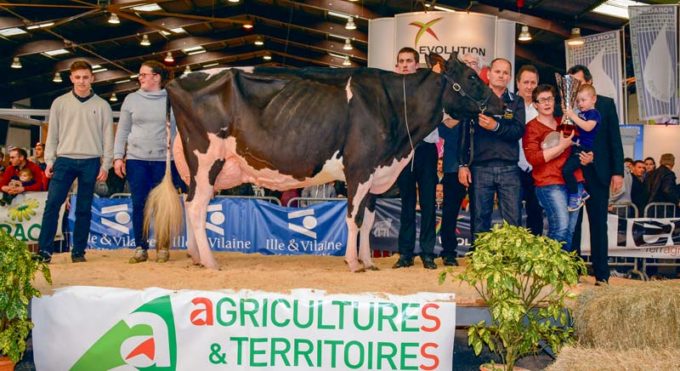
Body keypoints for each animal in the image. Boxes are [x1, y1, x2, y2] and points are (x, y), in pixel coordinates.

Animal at [145, 52, 500, 272]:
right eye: (471, 76)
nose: (501, 104)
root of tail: (177, 80)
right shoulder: (359, 168)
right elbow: (354, 218)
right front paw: (353, 263)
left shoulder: (375, 173)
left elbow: (369, 220)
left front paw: (369, 262)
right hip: (206, 159)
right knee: (196, 206)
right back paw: (210, 261)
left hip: (196, 167)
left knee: (192, 203)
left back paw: (196, 257)